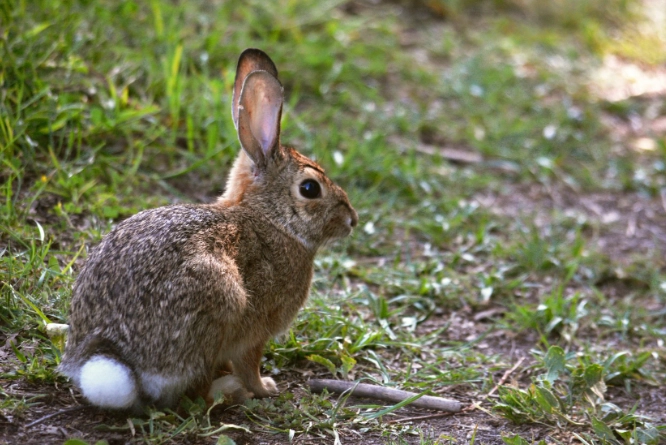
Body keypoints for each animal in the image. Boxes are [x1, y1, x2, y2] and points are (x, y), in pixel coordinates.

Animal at [58, 48, 358, 413]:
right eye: (310, 189)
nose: (352, 220)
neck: (271, 219)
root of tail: (113, 355)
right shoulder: (256, 330)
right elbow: (250, 363)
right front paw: (265, 387)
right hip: (221, 298)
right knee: (195, 393)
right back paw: (230, 391)